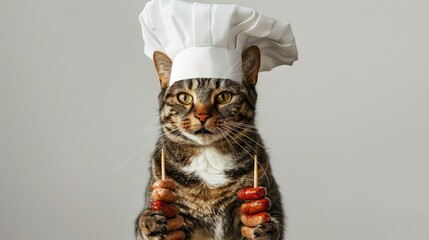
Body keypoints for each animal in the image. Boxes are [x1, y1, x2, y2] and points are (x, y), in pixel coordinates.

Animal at [137, 46, 282, 239]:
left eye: (224, 97)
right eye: (184, 97)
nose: (202, 116)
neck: (208, 155)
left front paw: (265, 228)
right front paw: (150, 221)